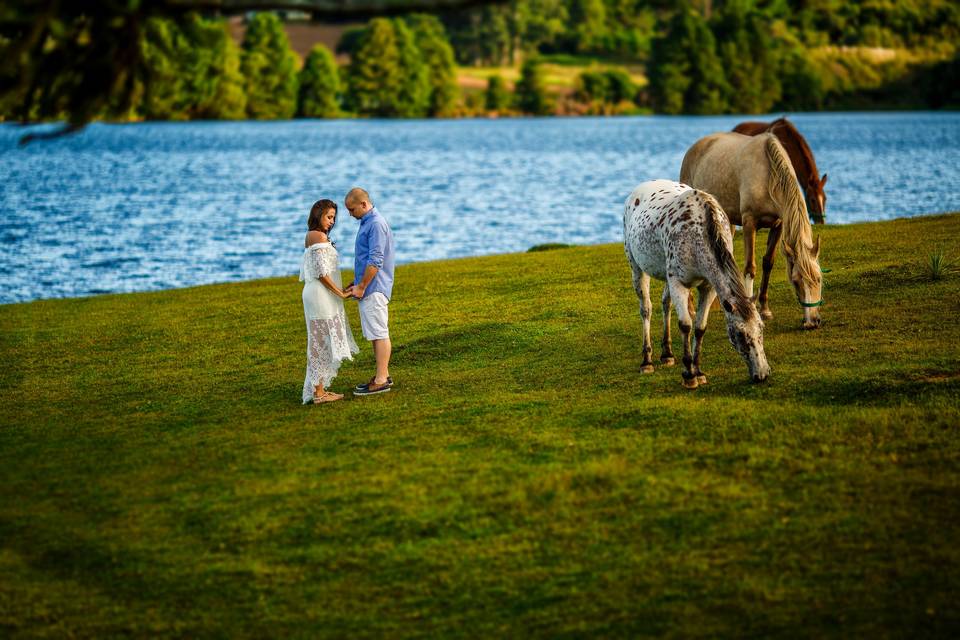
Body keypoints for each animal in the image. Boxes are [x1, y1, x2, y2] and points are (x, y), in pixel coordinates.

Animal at [624, 180, 772, 390]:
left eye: (761, 327)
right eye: (740, 334)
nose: (762, 374)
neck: (697, 232)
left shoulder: (708, 287)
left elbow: (700, 327)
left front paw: (699, 372)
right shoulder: (678, 283)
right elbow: (685, 325)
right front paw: (689, 375)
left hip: (666, 275)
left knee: (665, 304)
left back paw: (667, 354)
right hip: (637, 268)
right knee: (646, 309)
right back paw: (647, 362)